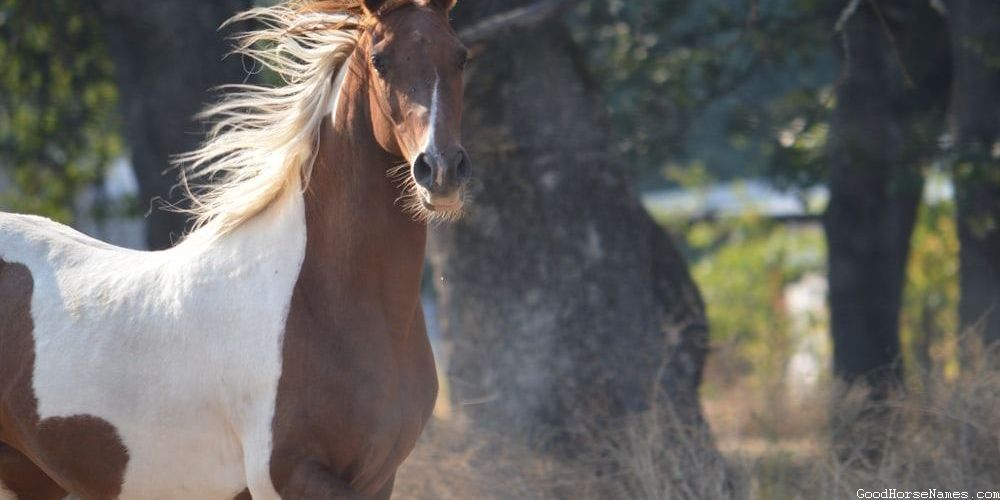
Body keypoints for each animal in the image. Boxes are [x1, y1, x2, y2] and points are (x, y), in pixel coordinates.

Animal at [0, 0, 470, 497]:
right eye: (380, 60)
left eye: (461, 56)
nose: (441, 170)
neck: (317, 302)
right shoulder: (288, 476)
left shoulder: (379, 478)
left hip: (31, 475)